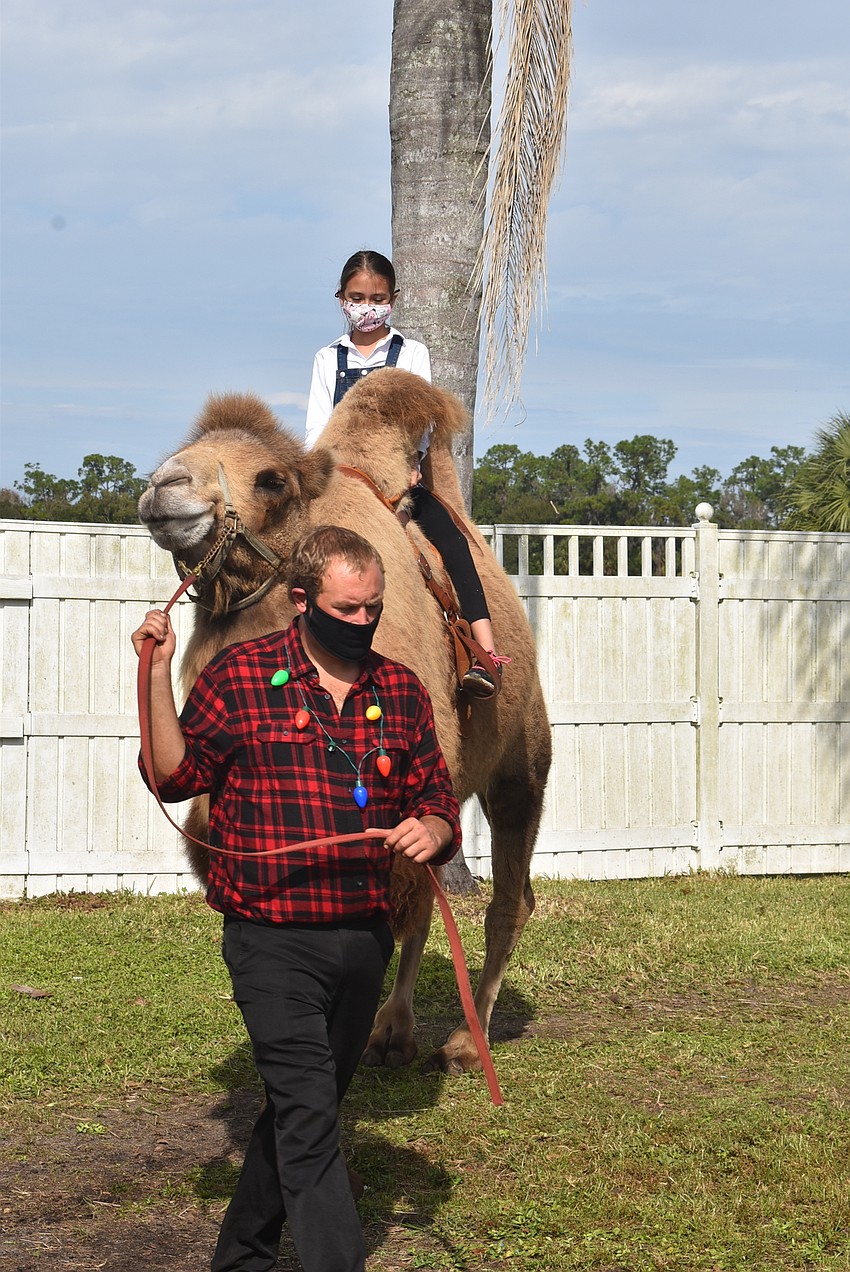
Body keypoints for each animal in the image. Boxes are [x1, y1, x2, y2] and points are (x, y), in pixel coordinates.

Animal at [138, 369, 551, 1075]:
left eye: (270, 480)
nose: (165, 487)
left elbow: (399, 900)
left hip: (522, 764)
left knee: (505, 900)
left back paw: (462, 1041)